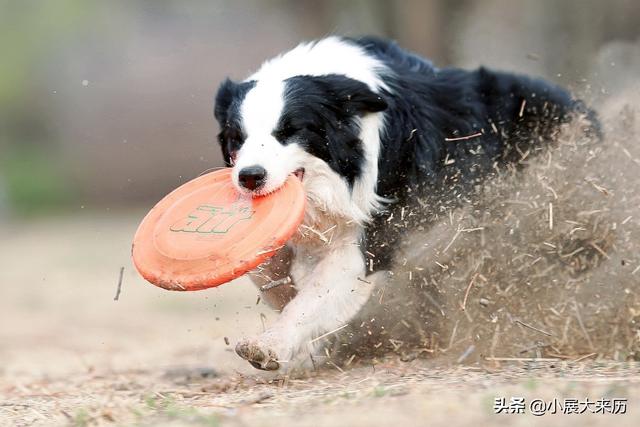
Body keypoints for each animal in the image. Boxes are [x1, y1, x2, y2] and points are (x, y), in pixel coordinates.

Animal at [212, 36, 596, 372]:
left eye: (290, 131)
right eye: (236, 137)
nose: (249, 177)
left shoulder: (371, 234)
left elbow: (313, 296)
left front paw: (271, 346)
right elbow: (267, 270)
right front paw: (306, 338)